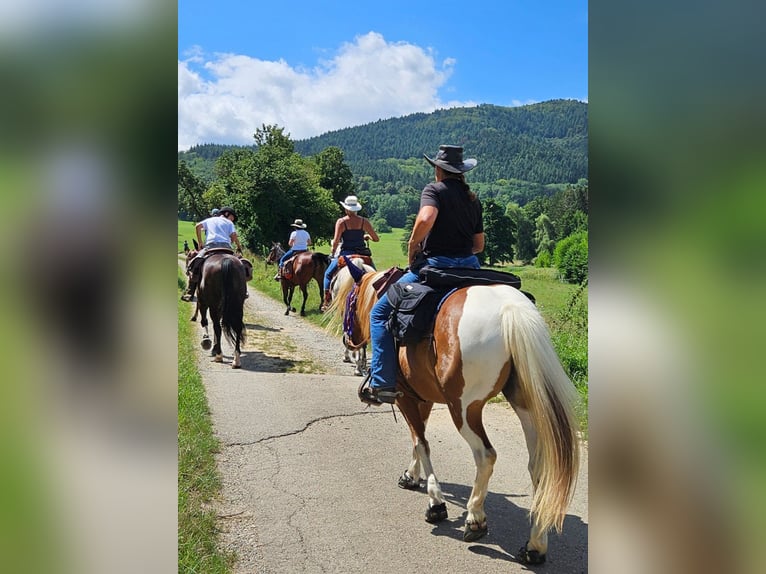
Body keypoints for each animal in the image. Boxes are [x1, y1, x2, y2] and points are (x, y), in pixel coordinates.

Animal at [328, 270, 584, 568]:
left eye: (349, 301)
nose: (347, 341)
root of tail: (511, 309)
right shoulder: (422, 397)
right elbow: (418, 438)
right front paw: (411, 476)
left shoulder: (405, 396)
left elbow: (421, 442)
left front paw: (436, 503)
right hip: (527, 408)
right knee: (539, 468)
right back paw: (535, 545)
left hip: (463, 408)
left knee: (486, 455)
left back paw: (475, 518)